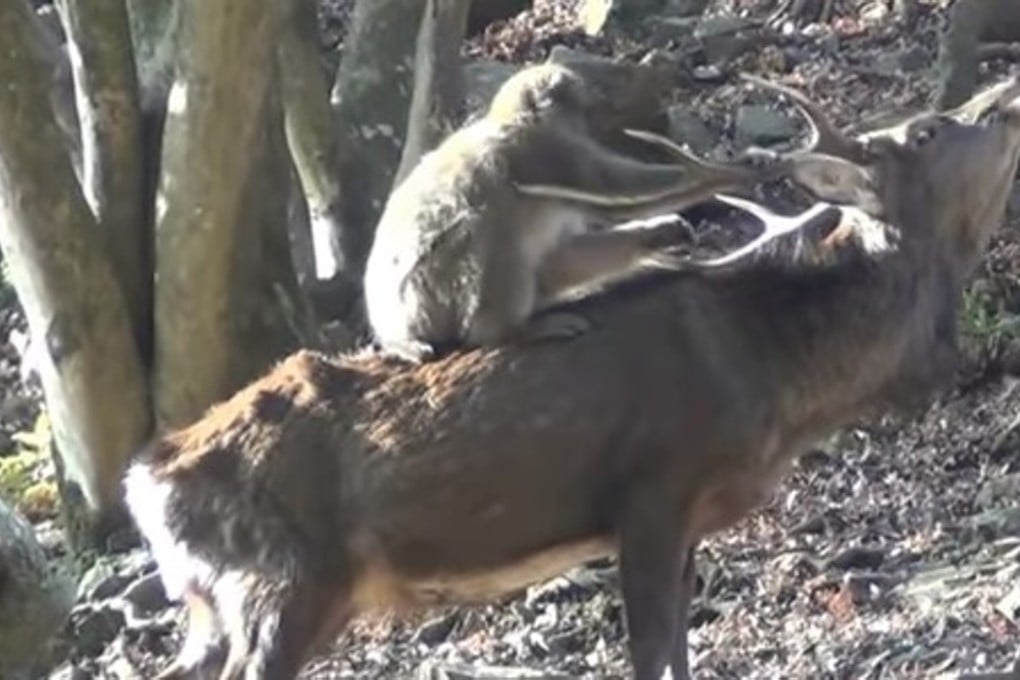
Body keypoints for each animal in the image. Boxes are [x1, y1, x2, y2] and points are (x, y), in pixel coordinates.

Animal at [363, 62, 782, 363]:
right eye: (581, 104)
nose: (592, 116)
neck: (511, 119)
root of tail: (391, 329)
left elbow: (576, 237)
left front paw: (664, 230)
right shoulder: (545, 149)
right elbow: (611, 185)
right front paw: (727, 172)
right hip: (428, 294)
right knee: (488, 231)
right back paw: (506, 332)